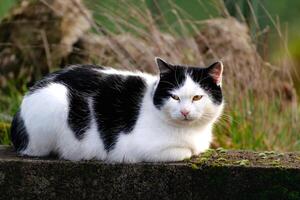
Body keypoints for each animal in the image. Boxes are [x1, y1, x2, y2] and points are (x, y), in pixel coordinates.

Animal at [10, 57, 224, 162]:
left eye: (197, 97)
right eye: (175, 97)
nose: (185, 112)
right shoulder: (132, 148)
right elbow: (185, 152)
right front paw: (189, 151)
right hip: (55, 99)